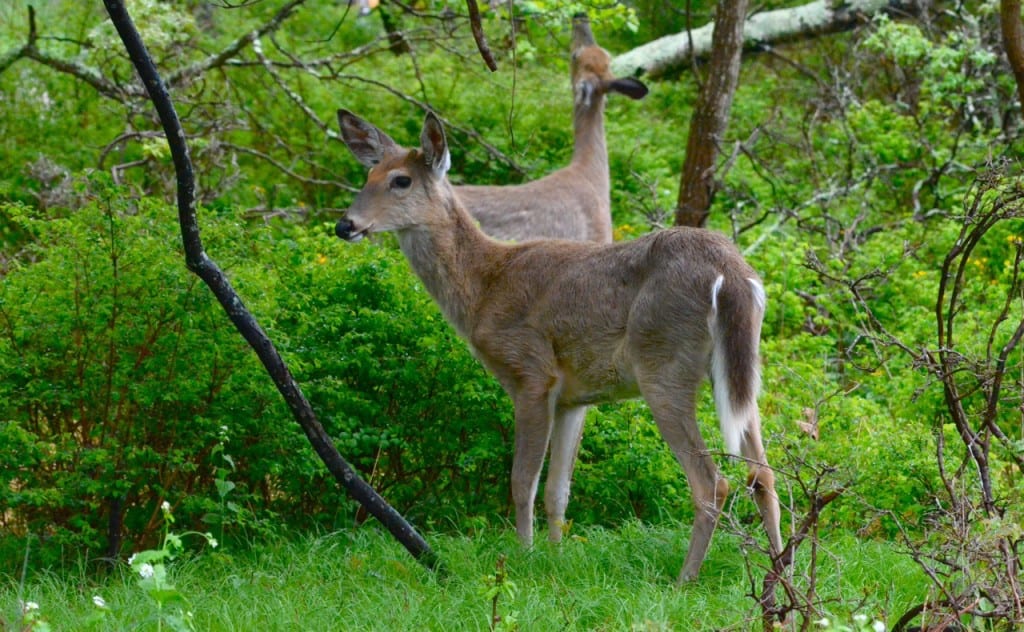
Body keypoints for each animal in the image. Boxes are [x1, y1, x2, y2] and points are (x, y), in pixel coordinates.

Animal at [335, 109, 782, 581]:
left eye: (400, 180)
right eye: (368, 175)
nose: (345, 225)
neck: (484, 287)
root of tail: (731, 272)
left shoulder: (532, 372)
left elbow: (521, 480)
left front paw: (524, 555)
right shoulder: (575, 396)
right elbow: (558, 488)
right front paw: (555, 556)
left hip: (663, 364)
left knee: (713, 481)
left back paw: (685, 579)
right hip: (741, 370)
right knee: (763, 474)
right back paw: (779, 573)